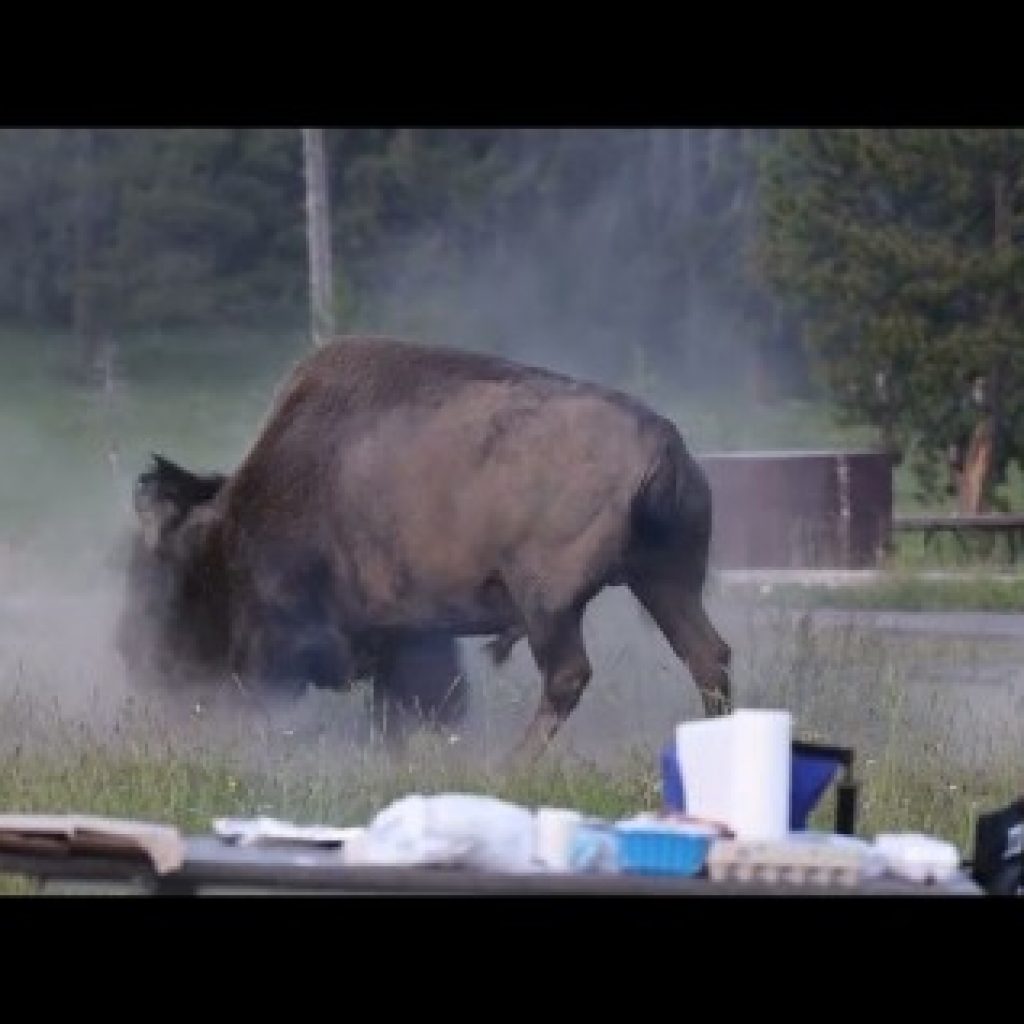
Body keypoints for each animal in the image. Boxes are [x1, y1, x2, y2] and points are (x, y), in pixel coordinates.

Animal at [116, 335, 731, 761]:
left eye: (160, 576)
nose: (139, 658)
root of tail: (663, 446)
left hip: (551, 605)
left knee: (569, 676)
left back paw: (510, 764)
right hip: (665, 582)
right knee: (707, 655)